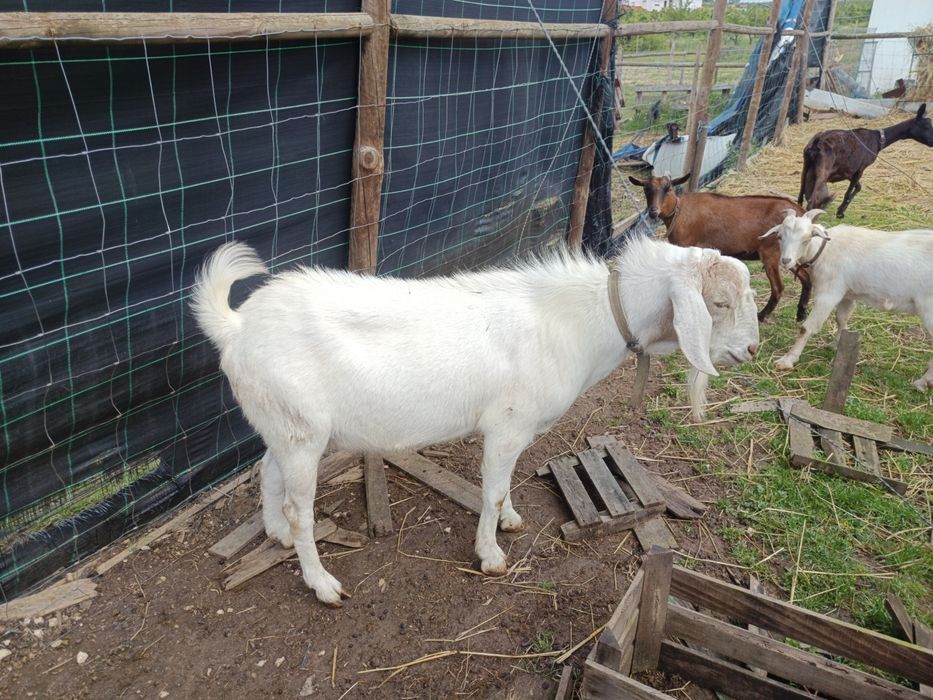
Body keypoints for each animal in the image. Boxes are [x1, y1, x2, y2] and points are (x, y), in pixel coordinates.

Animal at [191, 237, 759, 605]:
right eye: (719, 302)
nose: (752, 350)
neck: (576, 321)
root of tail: (236, 327)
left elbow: (504, 488)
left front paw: (510, 519)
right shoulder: (508, 424)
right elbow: (491, 488)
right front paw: (490, 554)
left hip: (284, 424)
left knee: (267, 471)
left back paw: (275, 533)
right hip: (302, 431)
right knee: (299, 507)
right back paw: (322, 582)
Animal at [629, 173, 812, 322]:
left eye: (668, 189)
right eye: (646, 189)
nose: (653, 211)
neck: (678, 213)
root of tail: (802, 213)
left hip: (771, 252)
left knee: (778, 287)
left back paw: (761, 316)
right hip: (789, 253)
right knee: (806, 277)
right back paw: (801, 313)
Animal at [761, 210, 933, 390]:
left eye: (806, 238)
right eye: (780, 236)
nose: (786, 261)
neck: (824, 250)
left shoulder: (829, 293)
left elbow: (806, 327)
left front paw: (787, 360)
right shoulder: (847, 294)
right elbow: (841, 319)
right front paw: (836, 344)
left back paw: (922, 382)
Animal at [797, 104, 933, 219]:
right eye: (926, 126)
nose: (932, 142)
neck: (878, 139)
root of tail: (817, 143)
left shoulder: (849, 171)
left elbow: (858, 187)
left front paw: (841, 210)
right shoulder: (860, 169)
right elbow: (849, 192)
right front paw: (840, 212)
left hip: (806, 166)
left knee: (800, 195)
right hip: (823, 171)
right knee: (811, 201)